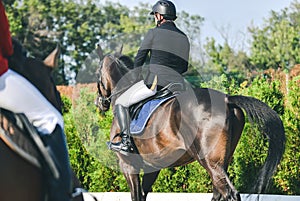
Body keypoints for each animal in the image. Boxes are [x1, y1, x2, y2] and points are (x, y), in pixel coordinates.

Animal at [94, 45, 286, 201]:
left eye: (96, 73)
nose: (99, 103)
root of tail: (227, 99)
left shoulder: (128, 165)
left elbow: (136, 196)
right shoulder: (153, 166)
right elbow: (142, 195)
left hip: (209, 161)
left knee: (229, 193)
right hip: (221, 161)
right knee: (218, 193)